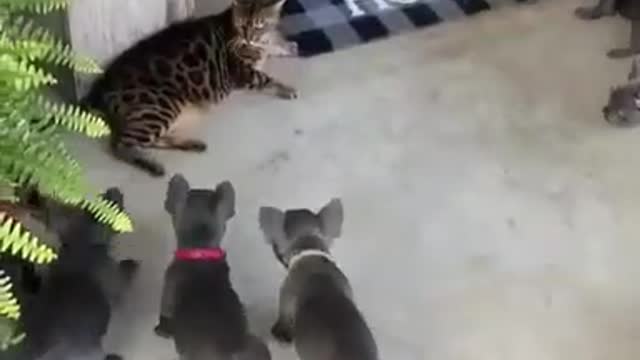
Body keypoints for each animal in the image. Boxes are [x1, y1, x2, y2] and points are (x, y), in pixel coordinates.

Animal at [82, 0, 298, 177]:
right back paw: (151, 164)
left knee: (150, 139)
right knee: (122, 144)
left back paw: (191, 144)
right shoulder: (242, 72)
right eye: (242, 24)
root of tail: (101, 85)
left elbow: (274, 44)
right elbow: (267, 78)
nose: (249, 38)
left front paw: (285, 45)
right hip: (160, 105)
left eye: (260, 25)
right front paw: (286, 87)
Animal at [153, 172, 270, 360]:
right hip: (257, 344)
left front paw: (160, 330)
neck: (201, 250)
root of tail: (233, 351)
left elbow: (165, 320)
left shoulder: (167, 297)